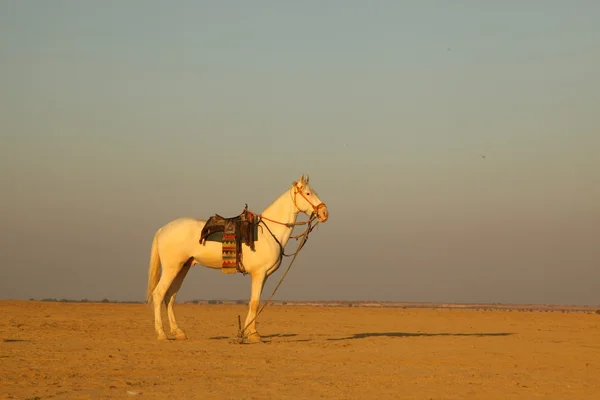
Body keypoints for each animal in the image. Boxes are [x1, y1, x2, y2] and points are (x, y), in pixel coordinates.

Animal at [146, 173, 328, 342]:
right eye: (308, 193)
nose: (324, 213)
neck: (269, 233)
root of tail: (163, 229)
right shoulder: (258, 274)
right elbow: (254, 302)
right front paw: (254, 335)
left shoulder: (264, 276)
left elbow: (254, 301)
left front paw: (247, 332)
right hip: (171, 268)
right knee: (159, 294)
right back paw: (162, 334)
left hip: (182, 268)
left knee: (170, 297)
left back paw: (178, 333)